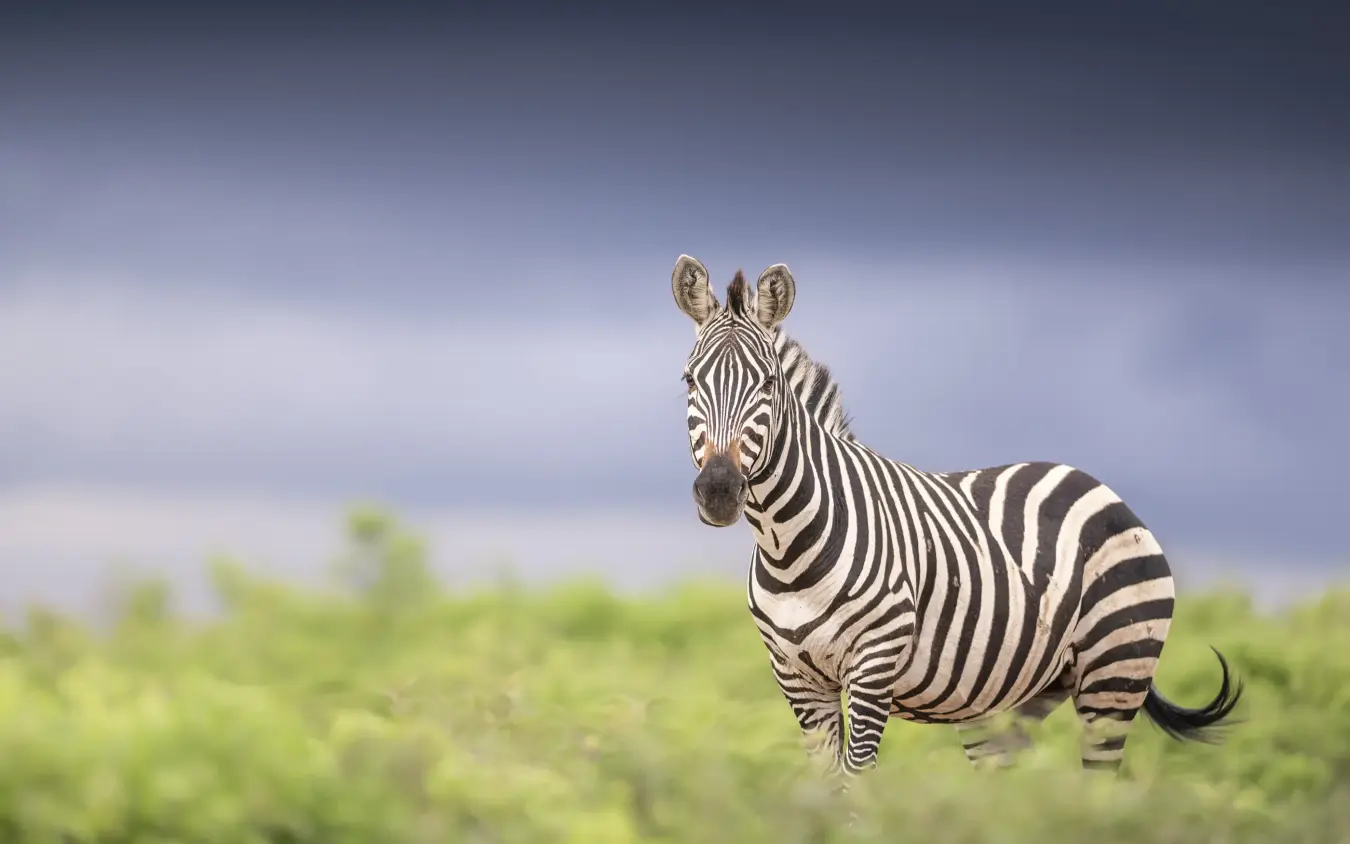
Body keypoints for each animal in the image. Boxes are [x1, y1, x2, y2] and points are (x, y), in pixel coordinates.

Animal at [670, 254, 1242, 783]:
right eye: (689, 380)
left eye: (768, 383)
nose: (718, 491)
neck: (787, 546)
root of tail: (1097, 486)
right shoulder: (797, 679)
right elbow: (824, 792)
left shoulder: (873, 666)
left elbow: (854, 786)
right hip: (1008, 701)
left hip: (1116, 670)